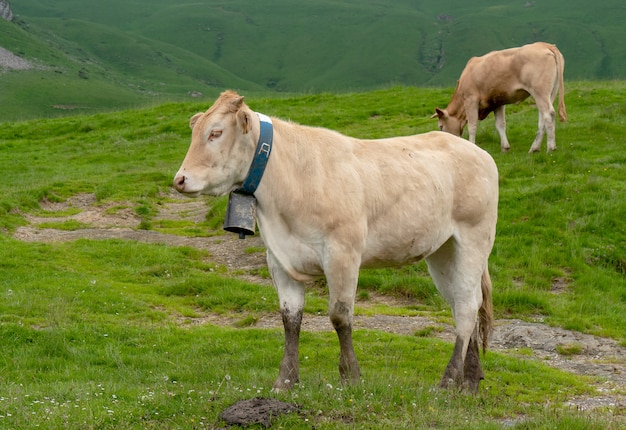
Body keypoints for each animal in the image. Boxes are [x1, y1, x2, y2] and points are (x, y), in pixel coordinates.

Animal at [172, 90, 498, 394]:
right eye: (194, 131)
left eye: (215, 132)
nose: (179, 179)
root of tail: (476, 151)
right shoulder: (279, 259)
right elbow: (290, 319)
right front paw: (285, 381)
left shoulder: (343, 253)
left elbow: (340, 316)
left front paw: (350, 376)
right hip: (442, 250)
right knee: (463, 302)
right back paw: (470, 379)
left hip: (474, 238)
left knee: (467, 307)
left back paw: (448, 381)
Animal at [432, 41, 564, 153]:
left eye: (440, 126)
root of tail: (545, 45)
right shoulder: (498, 102)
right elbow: (500, 124)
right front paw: (505, 147)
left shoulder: (471, 100)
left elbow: (472, 126)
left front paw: (473, 146)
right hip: (550, 93)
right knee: (542, 117)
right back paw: (534, 148)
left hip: (540, 91)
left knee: (548, 114)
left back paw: (551, 147)